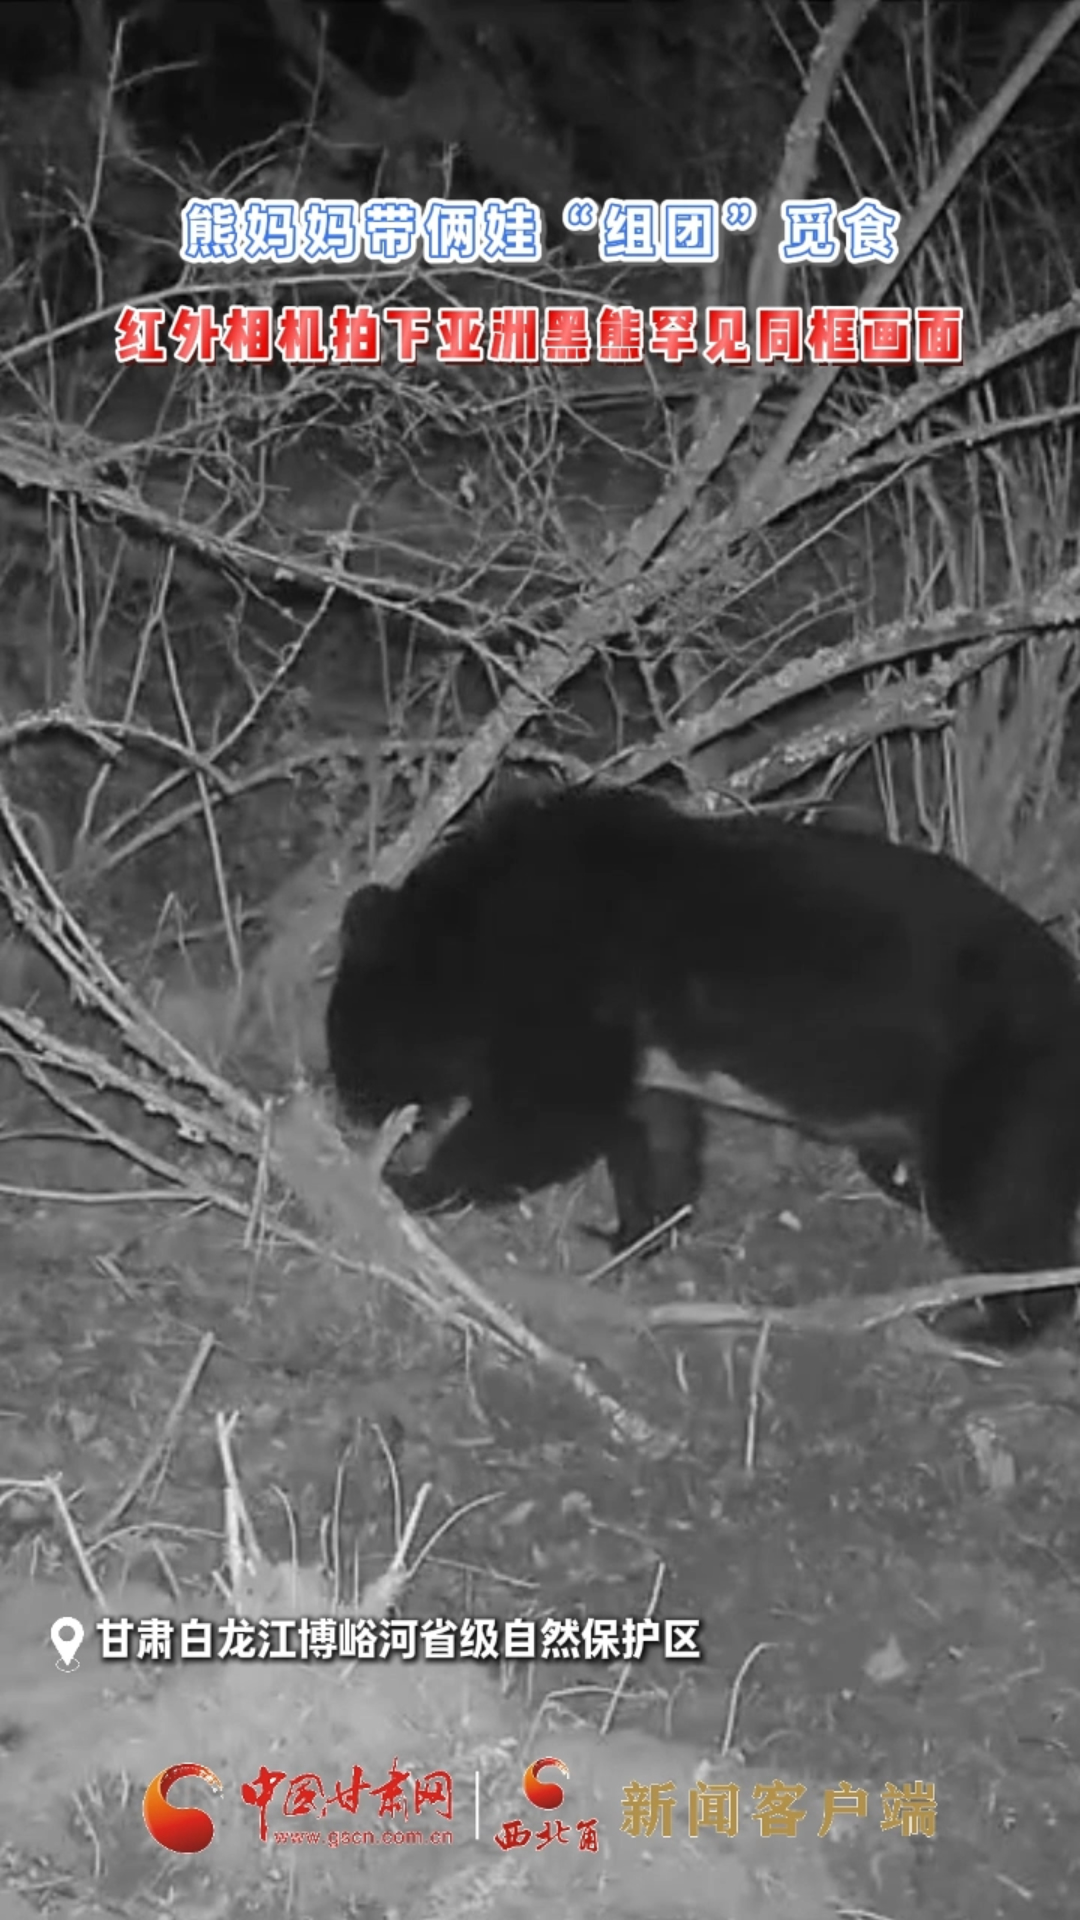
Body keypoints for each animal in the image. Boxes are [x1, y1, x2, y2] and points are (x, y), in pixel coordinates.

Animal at [325, 784, 1080, 1347]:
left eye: (352, 1046)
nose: (352, 1108)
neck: (481, 930)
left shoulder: (576, 986)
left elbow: (549, 1112)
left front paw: (409, 1182)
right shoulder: (639, 1051)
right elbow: (653, 1134)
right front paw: (629, 1234)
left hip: (1007, 1091)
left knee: (1002, 1213)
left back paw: (983, 1321)